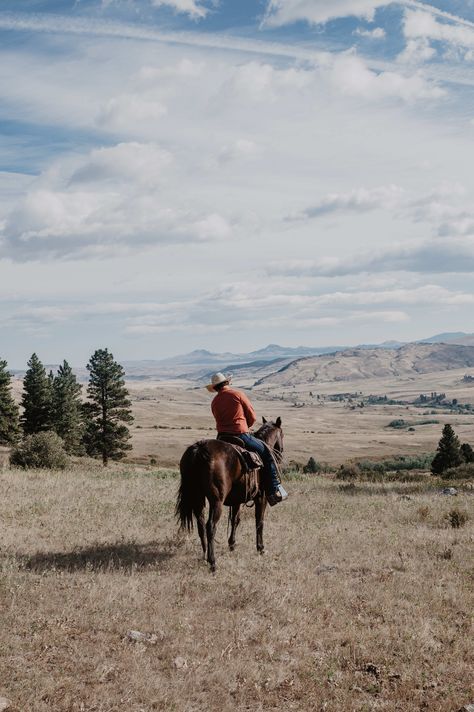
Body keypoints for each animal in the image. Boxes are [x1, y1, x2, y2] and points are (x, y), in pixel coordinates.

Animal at [176, 418, 284, 572]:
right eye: (282, 435)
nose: (280, 454)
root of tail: (199, 449)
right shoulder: (261, 497)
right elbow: (259, 521)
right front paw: (261, 548)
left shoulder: (237, 500)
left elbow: (235, 520)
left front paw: (232, 544)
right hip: (216, 501)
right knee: (210, 526)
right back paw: (212, 562)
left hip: (197, 497)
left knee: (201, 524)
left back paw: (204, 556)